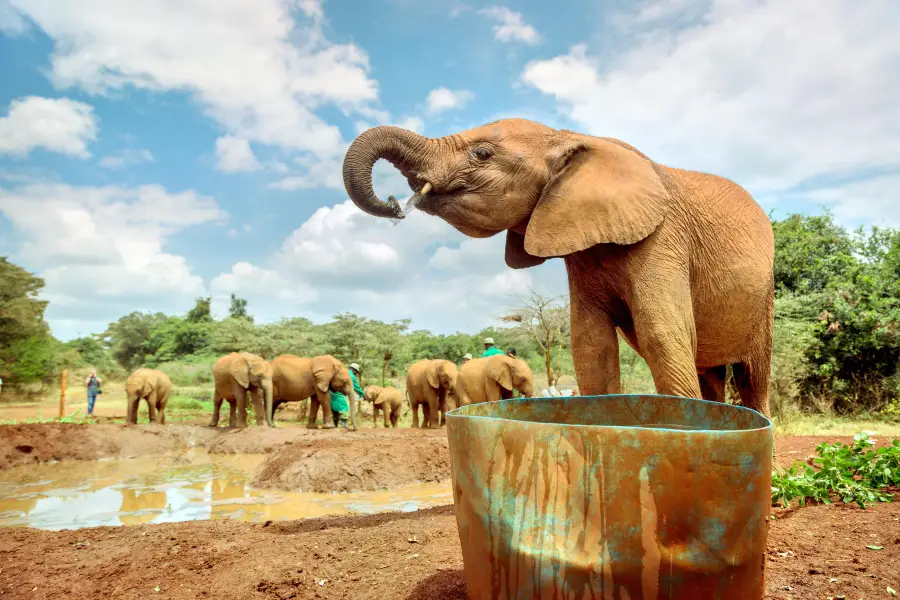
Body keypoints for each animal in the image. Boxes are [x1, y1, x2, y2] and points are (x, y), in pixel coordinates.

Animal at [342, 117, 776, 418]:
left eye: (481, 154)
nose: (396, 205)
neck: (565, 136)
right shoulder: (580, 252)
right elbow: (591, 346)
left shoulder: (663, 237)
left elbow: (661, 334)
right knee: (711, 373)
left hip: (764, 299)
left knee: (753, 377)